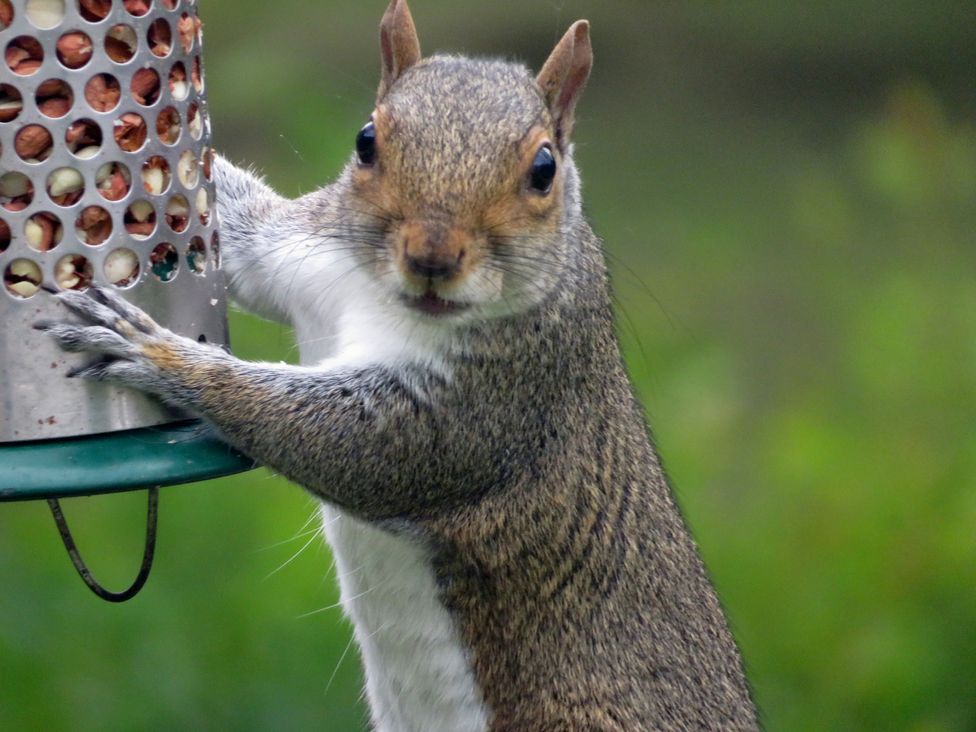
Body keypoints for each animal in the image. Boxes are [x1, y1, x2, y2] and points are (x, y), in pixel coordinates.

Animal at [39, 1, 760, 730]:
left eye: (544, 169)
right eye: (366, 141)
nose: (432, 256)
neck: (384, 297)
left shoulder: (500, 401)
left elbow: (363, 447)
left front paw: (152, 349)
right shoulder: (301, 255)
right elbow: (241, 229)